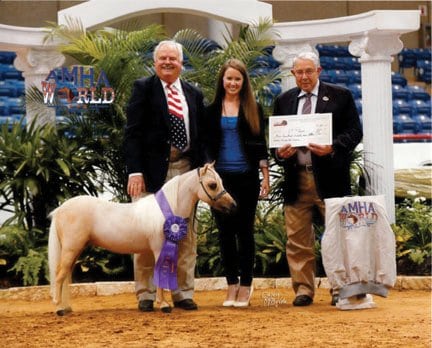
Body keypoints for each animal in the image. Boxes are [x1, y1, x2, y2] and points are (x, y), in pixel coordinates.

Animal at [49, 163, 236, 316]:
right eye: (212, 185)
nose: (233, 206)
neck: (166, 210)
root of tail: (60, 209)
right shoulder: (159, 249)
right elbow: (161, 275)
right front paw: (164, 305)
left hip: (75, 250)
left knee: (65, 276)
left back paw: (66, 307)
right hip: (71, 248)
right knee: (59, 276)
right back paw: (59, 308)